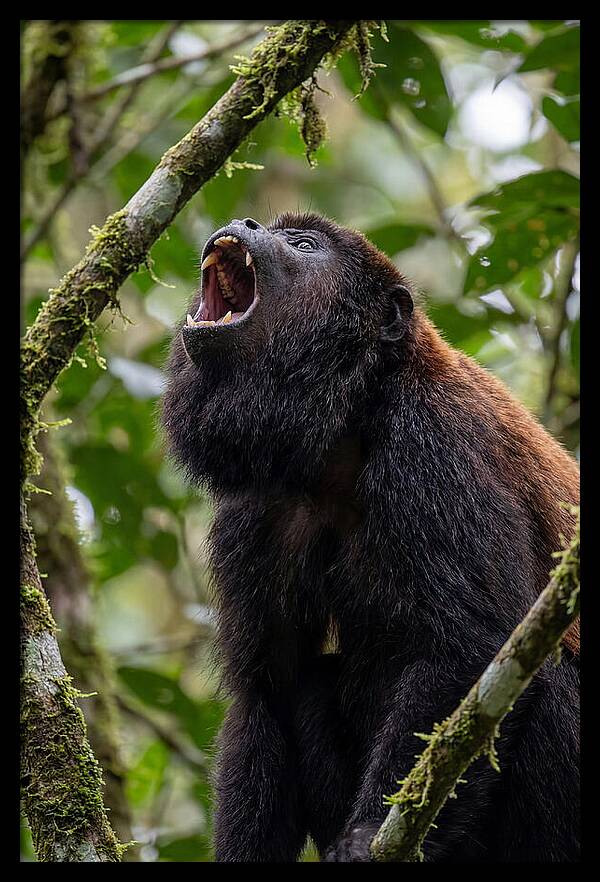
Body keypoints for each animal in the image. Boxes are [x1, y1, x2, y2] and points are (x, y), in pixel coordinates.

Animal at [161, 213, 579, 862]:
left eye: (304, 245)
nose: (245, 221)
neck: (348, 425)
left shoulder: (433, 446)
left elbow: (471, 645)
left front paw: (363, 837)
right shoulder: (256, 508)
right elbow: (267, 690)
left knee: (548, 672)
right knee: (308, 683)